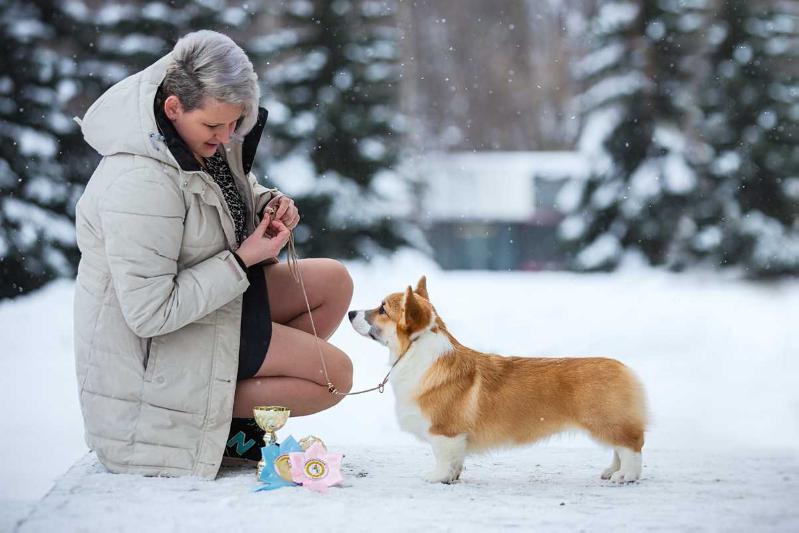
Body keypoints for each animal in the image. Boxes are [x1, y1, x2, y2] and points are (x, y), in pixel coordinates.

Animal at [346, 278, 648, 482]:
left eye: (382, 309)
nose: (350, 313)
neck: (414, 349)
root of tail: (624, 368)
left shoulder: (444, 432)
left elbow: (442, 457)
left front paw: (436, 476)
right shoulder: (454, 439)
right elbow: (456, 462)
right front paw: (452, 477)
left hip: (605, 422)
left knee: (631, 447)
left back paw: (625, 476)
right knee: (619, 449)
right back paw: (611, 471)